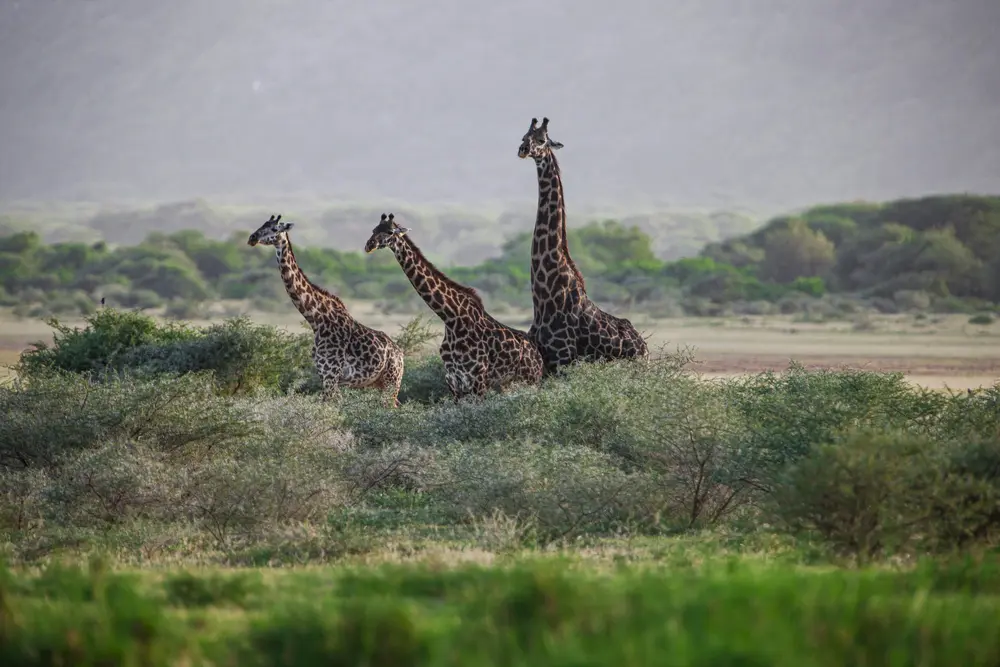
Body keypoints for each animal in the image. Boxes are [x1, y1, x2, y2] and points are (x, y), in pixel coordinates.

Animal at [247, 214, 404, 407]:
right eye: (262, 225)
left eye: (275, 228)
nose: (252, 238)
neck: (316, 318)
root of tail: (400, 354)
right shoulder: (325, 377)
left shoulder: (331, 376)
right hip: (380, 383)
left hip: (391, 382)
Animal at [364, 213, 543, 401]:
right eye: (374, 229)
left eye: (390, 232)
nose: (369, 245)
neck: (452, 319)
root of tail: (538, 355)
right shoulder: (453, 380)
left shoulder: (478, 379)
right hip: (507, 385)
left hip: (530, 381)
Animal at [518, 117, 649, 373]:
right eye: (524, 137)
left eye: (542, 140)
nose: (523, 150)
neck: (544, 301)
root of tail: (645, 348)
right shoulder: (547, 364)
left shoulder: (563, 360)